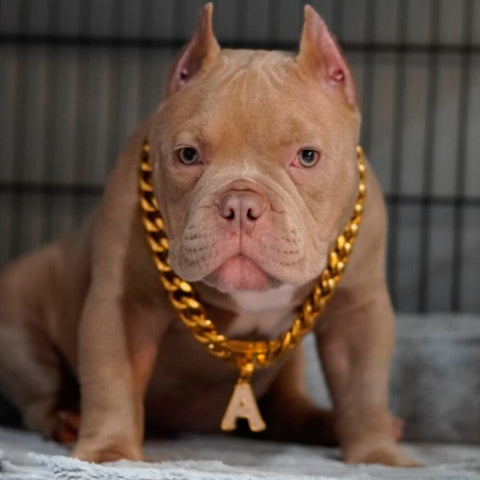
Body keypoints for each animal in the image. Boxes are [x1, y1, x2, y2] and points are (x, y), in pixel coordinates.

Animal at [0, 3, 416, 466]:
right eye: (188, 156)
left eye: (307, 157)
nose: (240, 205)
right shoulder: (122, 305)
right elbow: (112, 381)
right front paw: (110, 453)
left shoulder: (358, 310)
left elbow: (363, 389)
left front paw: (378, 456)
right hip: (17, 323)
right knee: (39, 392)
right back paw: (65, 419)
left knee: (289, 408)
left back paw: (334, 425)